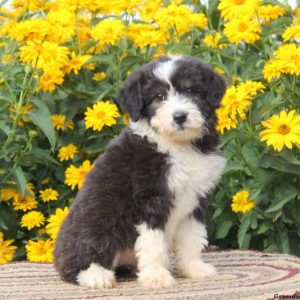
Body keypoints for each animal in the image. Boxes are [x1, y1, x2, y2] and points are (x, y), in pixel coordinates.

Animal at [54, 55, 225, 288]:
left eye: (190, 90)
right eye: (159, 96)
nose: (179, 116)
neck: (177, 144)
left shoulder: (195, 199)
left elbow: (192, 237)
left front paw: (194, 268)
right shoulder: (150, 199)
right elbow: (154, 243)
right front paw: (156, 277)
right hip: (97, 223)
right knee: (75, 261)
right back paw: (95, 275)